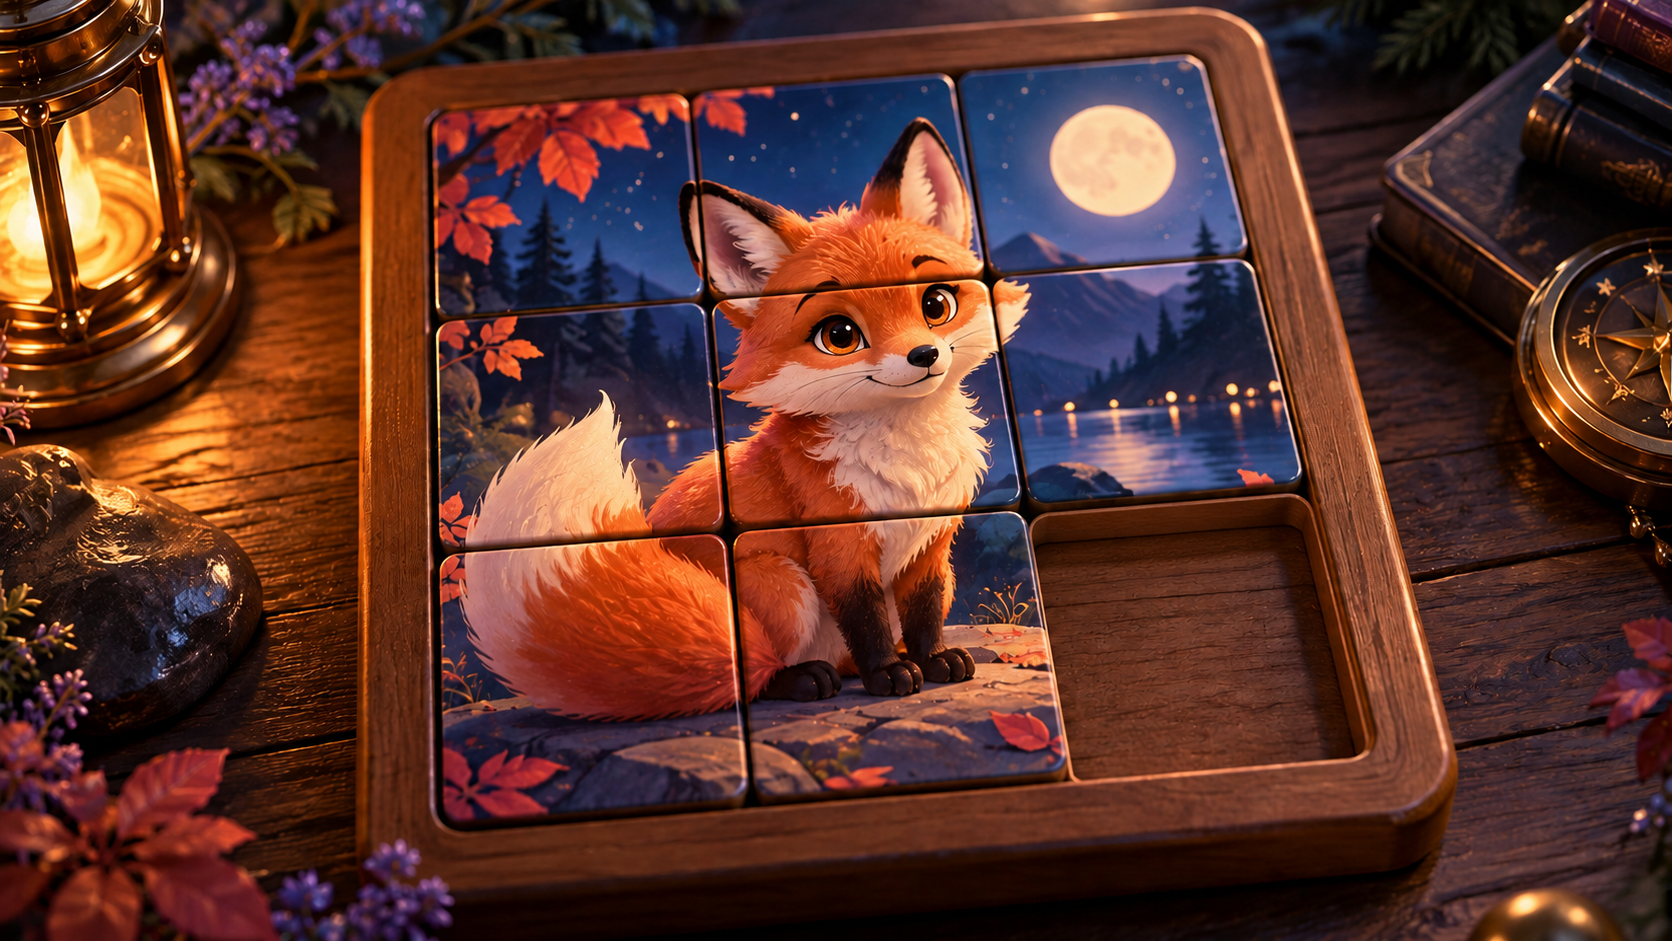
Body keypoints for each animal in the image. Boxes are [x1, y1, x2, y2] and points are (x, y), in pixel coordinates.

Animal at [462, 118, 1029, 720]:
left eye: (936, 304)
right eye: (839, 335)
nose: (924, 356)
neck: (907, 467)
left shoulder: (932, 543)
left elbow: (926, 611)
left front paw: (933, 659)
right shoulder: (839, 546)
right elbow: (866, 619)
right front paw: (889, 673)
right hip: (779, 581)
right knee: (752, 671)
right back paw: (802, 678)